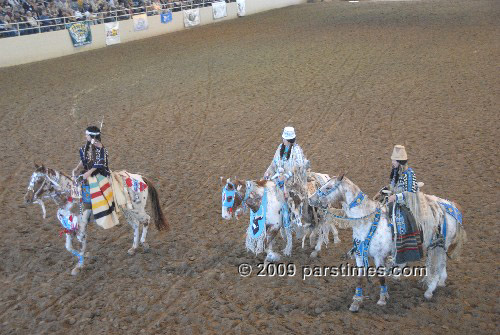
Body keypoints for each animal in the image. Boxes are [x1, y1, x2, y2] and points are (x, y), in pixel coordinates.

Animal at [24, 163, 168, 276]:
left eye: (38, 180)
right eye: (31, 179)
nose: (27, 198)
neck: (71, 196)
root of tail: (140, 177)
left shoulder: (81, 227)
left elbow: (80, 245)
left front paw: (79, 266)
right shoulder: (69, 227)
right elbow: (69, 247)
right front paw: (84, 259)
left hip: (137, 209)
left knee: (146, 219)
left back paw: (144, 243)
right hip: (127, 210)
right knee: (136, 225)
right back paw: (134, 247)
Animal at [310, 176, 466, 312]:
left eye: (328, 187)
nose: (311, 199)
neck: (366, 221)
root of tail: (451, 206)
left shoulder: (379, 256)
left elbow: (381, 277)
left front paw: (382, 298)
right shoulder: (360, 255)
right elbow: (359, 277)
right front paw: (356, 301)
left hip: (439, 246)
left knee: (438, 264)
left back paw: (429, 290)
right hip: (434, 245)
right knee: (440, 263)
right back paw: (438, 282)